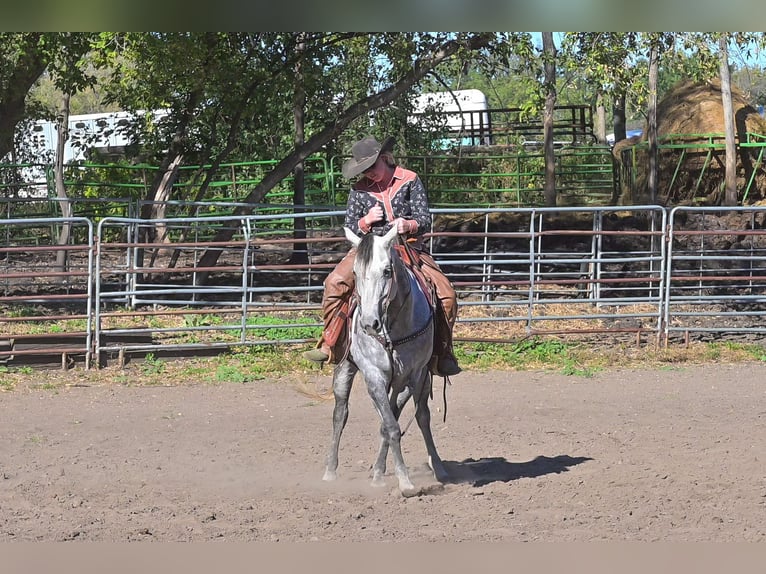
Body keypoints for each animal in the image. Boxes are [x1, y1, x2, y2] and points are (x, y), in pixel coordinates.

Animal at [322, 225, 449, 497]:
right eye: (355, 272)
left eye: (387, 271)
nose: (369, 324)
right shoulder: (374, 376)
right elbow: (390, 426)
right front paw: (405, 482)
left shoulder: (415, 375)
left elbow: (403, 420)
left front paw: (383, 474)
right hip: (345, 368)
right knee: (340, 415)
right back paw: (330, 471)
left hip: (413, 381)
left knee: (410, 415)